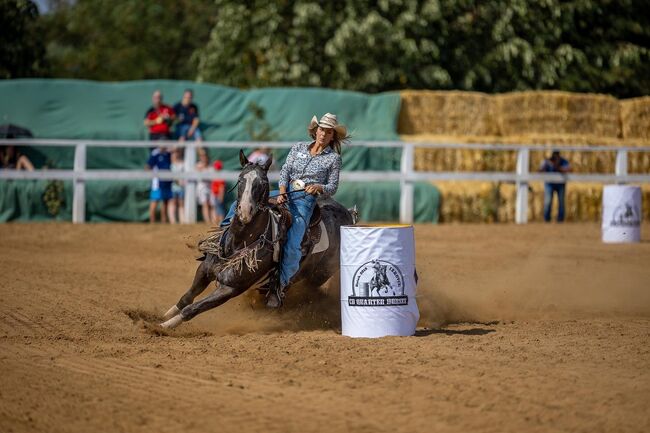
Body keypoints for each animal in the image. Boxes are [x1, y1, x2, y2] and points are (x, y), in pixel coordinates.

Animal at [162, 150, 354, 330]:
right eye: (240, 180)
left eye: (262, 183)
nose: (245, 211)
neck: (238, 243)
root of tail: (348, 214)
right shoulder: (204, 269)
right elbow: (187, 297)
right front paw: (165, 316)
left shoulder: (230, 288)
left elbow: (193, 308)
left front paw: (165, 326)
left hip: (318, 276)